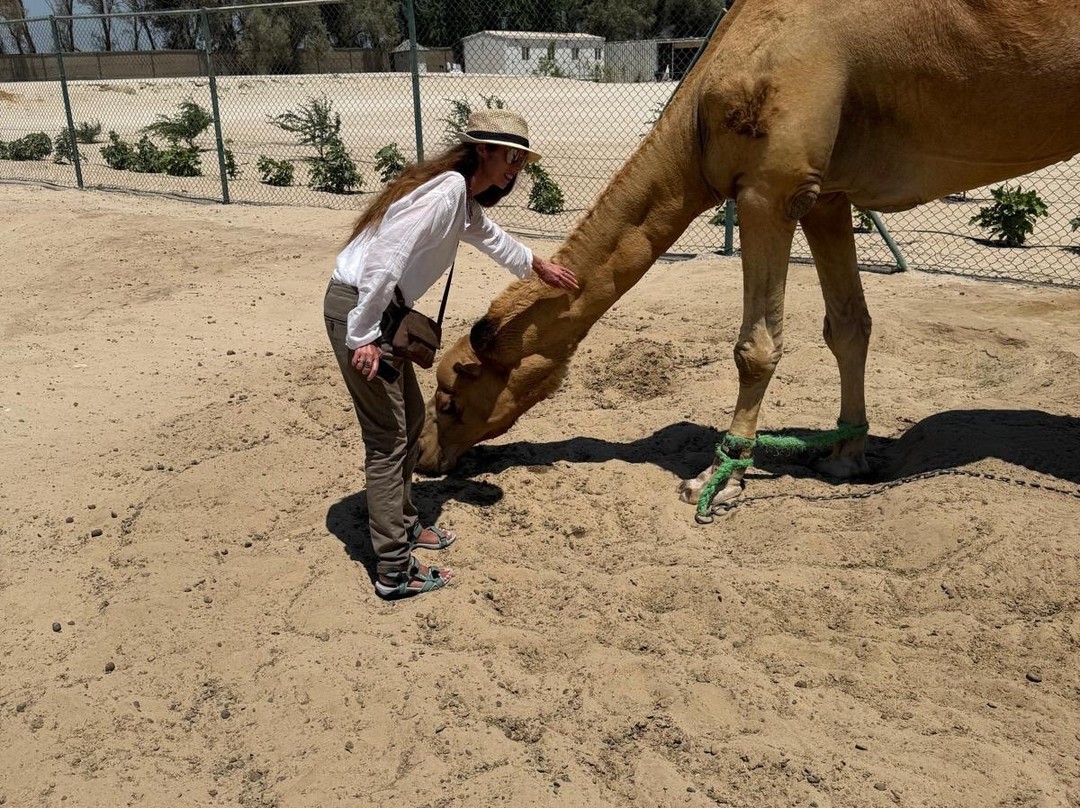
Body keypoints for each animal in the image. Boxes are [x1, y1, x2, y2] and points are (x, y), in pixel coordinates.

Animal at [416, 0, 1080, 513]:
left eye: (450, 396)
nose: (423, 456)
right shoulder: (827, 195)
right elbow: (848, 326)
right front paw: (847, 457)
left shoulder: (771, 188)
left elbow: (755, 347)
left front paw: (721, 479)